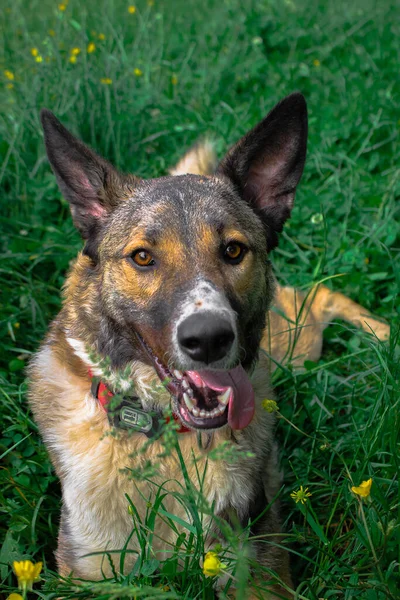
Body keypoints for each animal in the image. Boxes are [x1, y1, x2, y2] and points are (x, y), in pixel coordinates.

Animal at [28, 94, 390, 596]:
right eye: (143, 257)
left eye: (233, 250)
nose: (209, 339)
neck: (165, 441)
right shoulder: (85, 571)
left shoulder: (257, 567)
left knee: (318, 294)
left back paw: (383, 333)